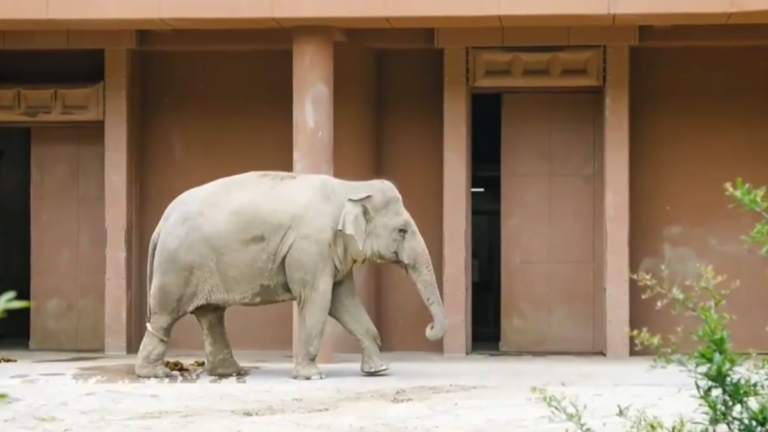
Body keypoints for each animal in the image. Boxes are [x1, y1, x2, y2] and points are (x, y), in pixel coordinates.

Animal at [134, 171, 447, 380]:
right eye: (402, 231)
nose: (430, 328)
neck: (350, 186)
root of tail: (161, 223)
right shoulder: (311, 245)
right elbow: (318, 299)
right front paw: (312, 376)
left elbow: (344, 301)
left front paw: (378, 370)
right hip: (178, 266)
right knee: (166, 315)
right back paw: (154, 373)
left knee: (211, 314)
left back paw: (229, 372)